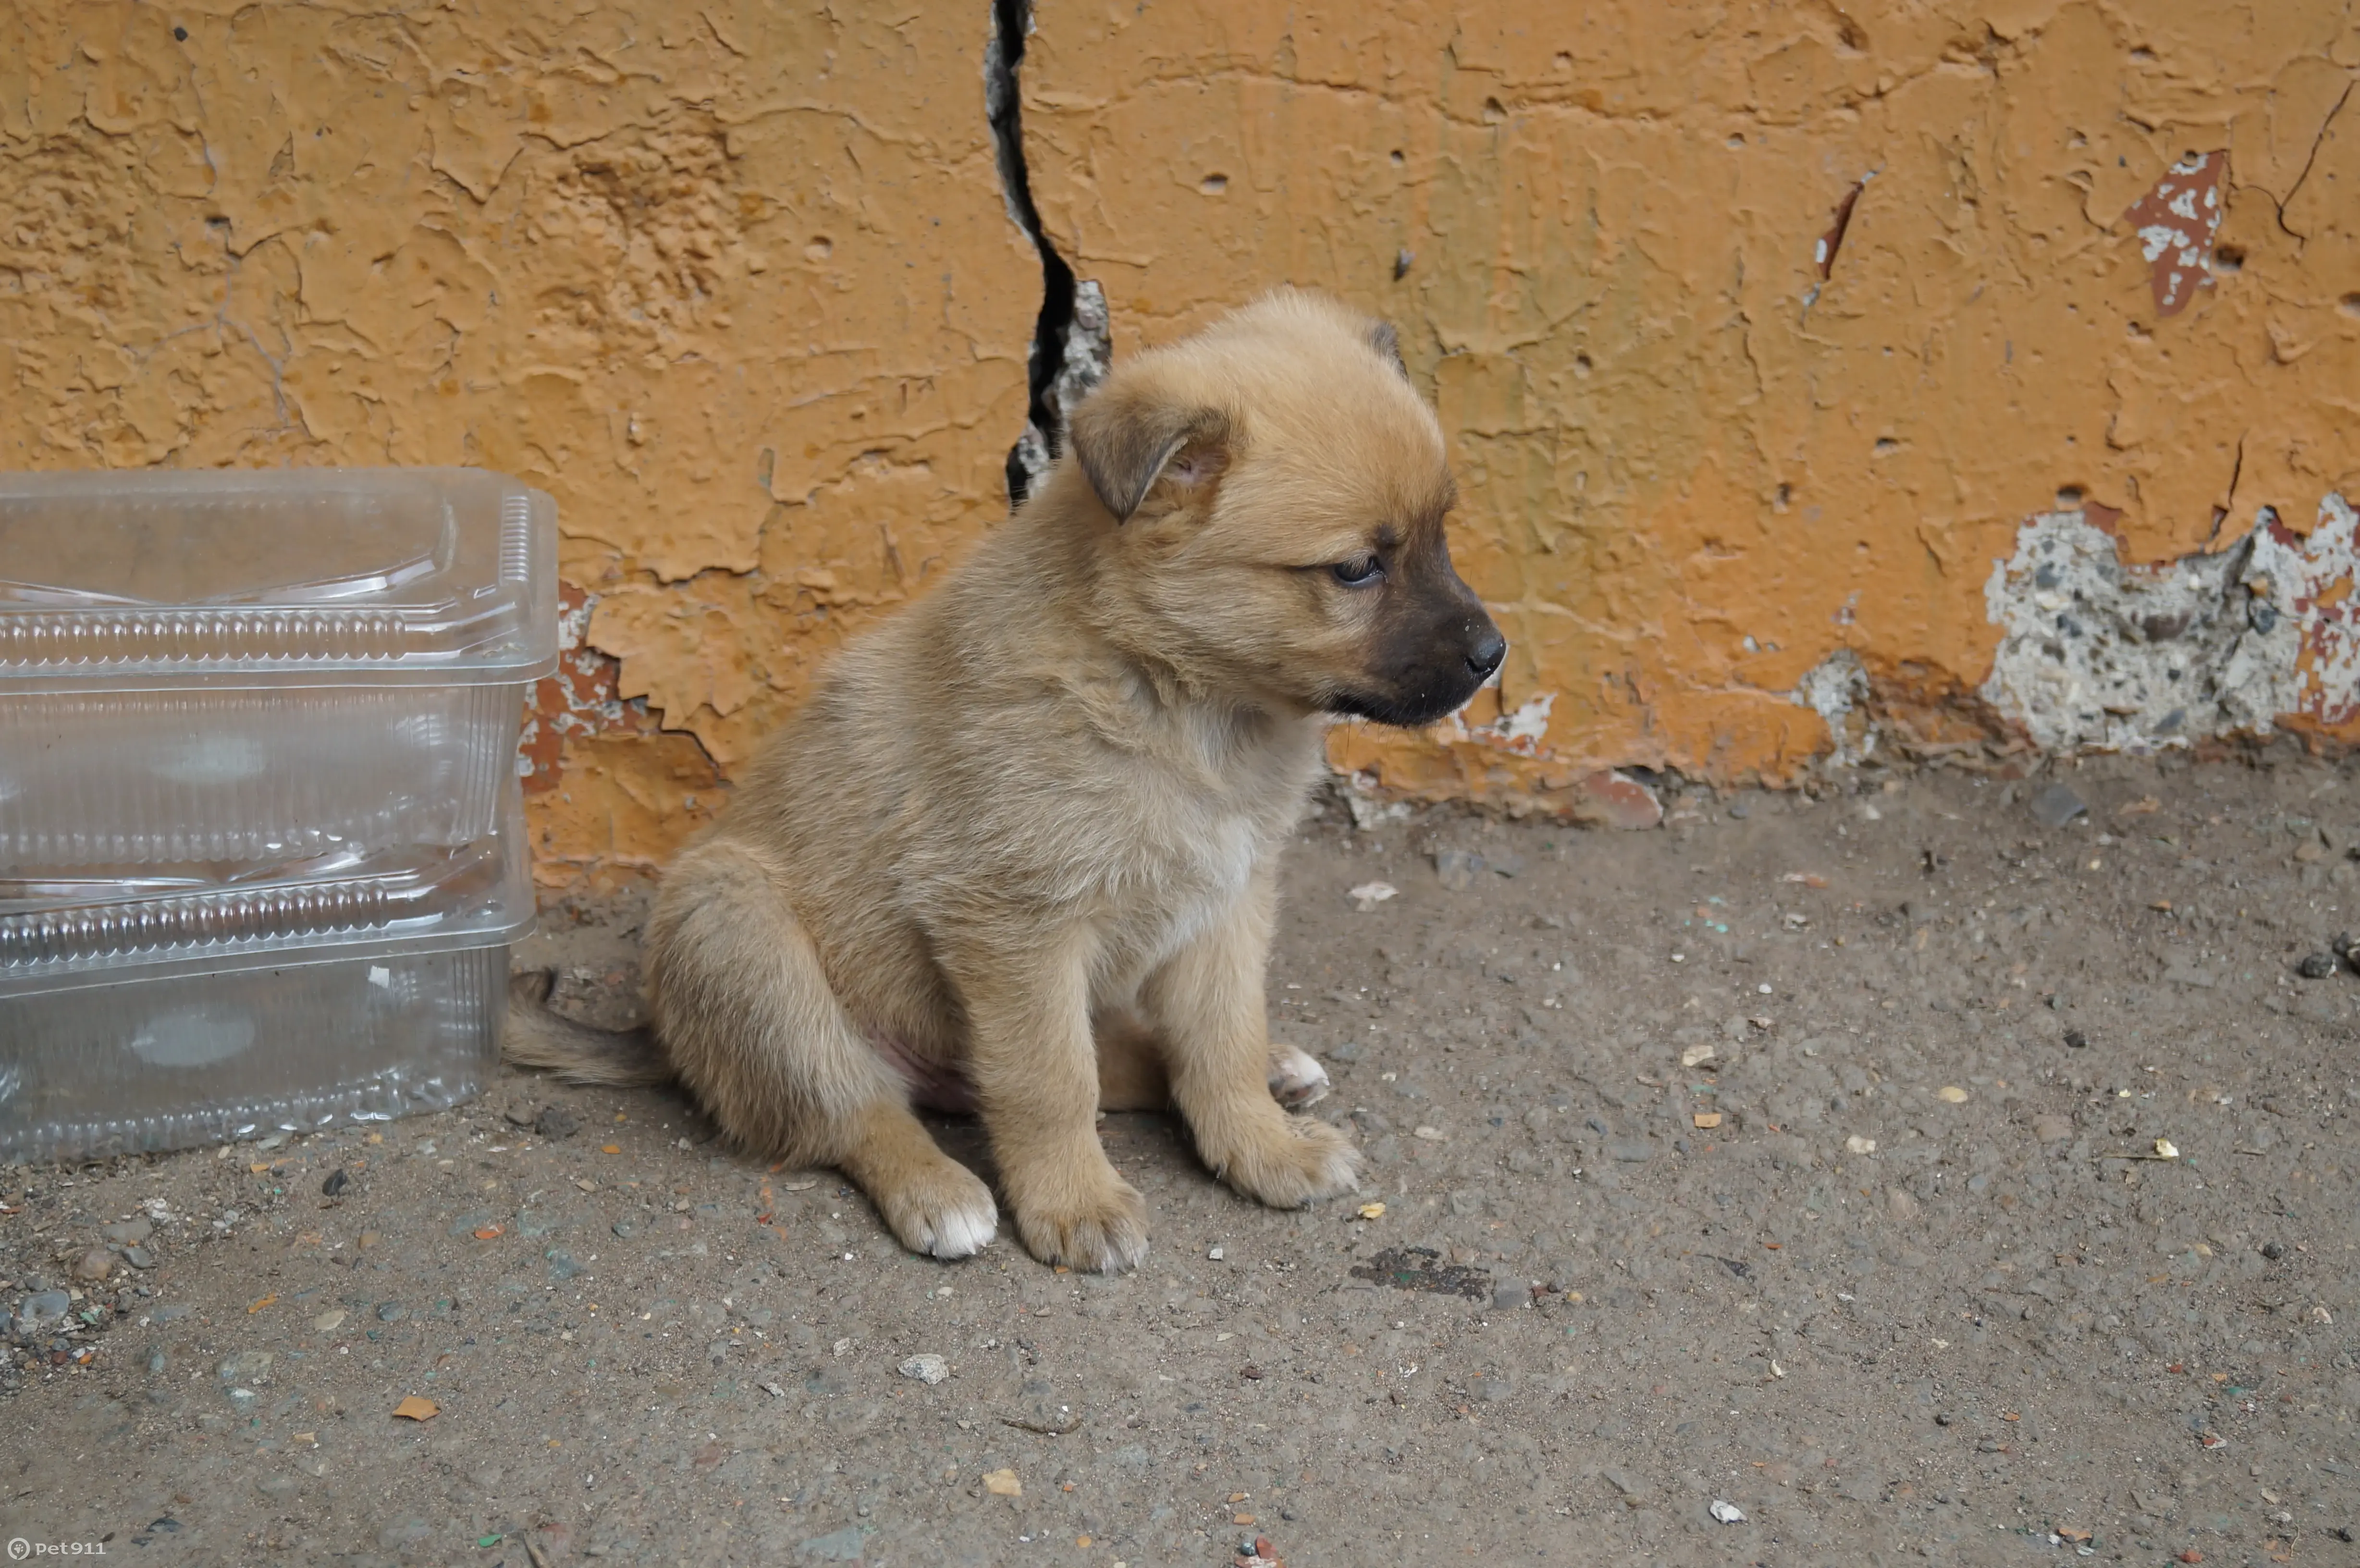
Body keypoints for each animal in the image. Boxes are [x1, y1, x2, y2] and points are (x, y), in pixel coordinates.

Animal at [516, 290, 1510, 1275]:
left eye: (1441, 529)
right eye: (1356, 568)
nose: (1492, 654)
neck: (1176, 696)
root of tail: (665, 1037)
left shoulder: (1227, 900)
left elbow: (1218, 1042)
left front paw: (1261, 1145)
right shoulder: (1013, 924)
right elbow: (1049, 1080)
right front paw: (1075, 1203)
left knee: (1116, 1058)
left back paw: (1277, 1069)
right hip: (735, 925)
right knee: (858, 1110)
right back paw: (937, 1189)